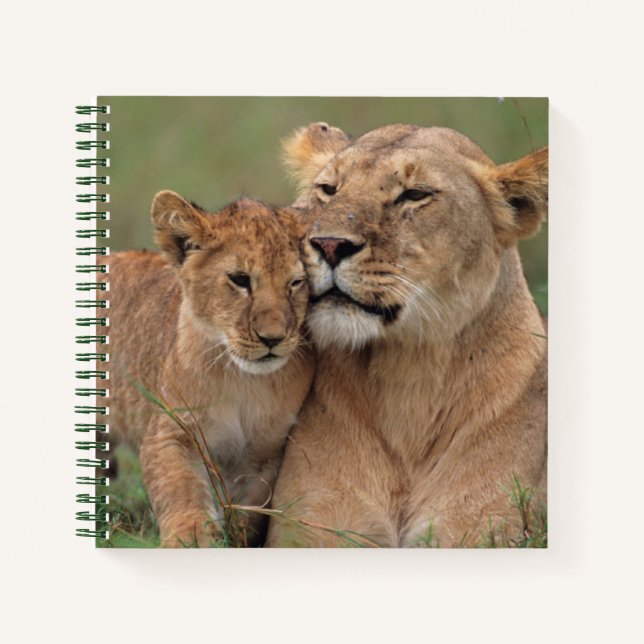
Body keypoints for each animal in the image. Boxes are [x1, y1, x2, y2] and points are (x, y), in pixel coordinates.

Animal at [98, 191, 314, 547]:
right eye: (240, 279)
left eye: (297, 282)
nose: (272, 338)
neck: (243, 381)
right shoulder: (171, 432)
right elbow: (181, 489)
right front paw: (192, 538)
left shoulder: (264, 455)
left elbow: (248, 510)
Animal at [267, 122, 548, 547]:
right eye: (328, 189)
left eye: (414, 194)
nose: (329, 244)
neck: (409, 378)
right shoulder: (313, 528)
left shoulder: (478, 530)